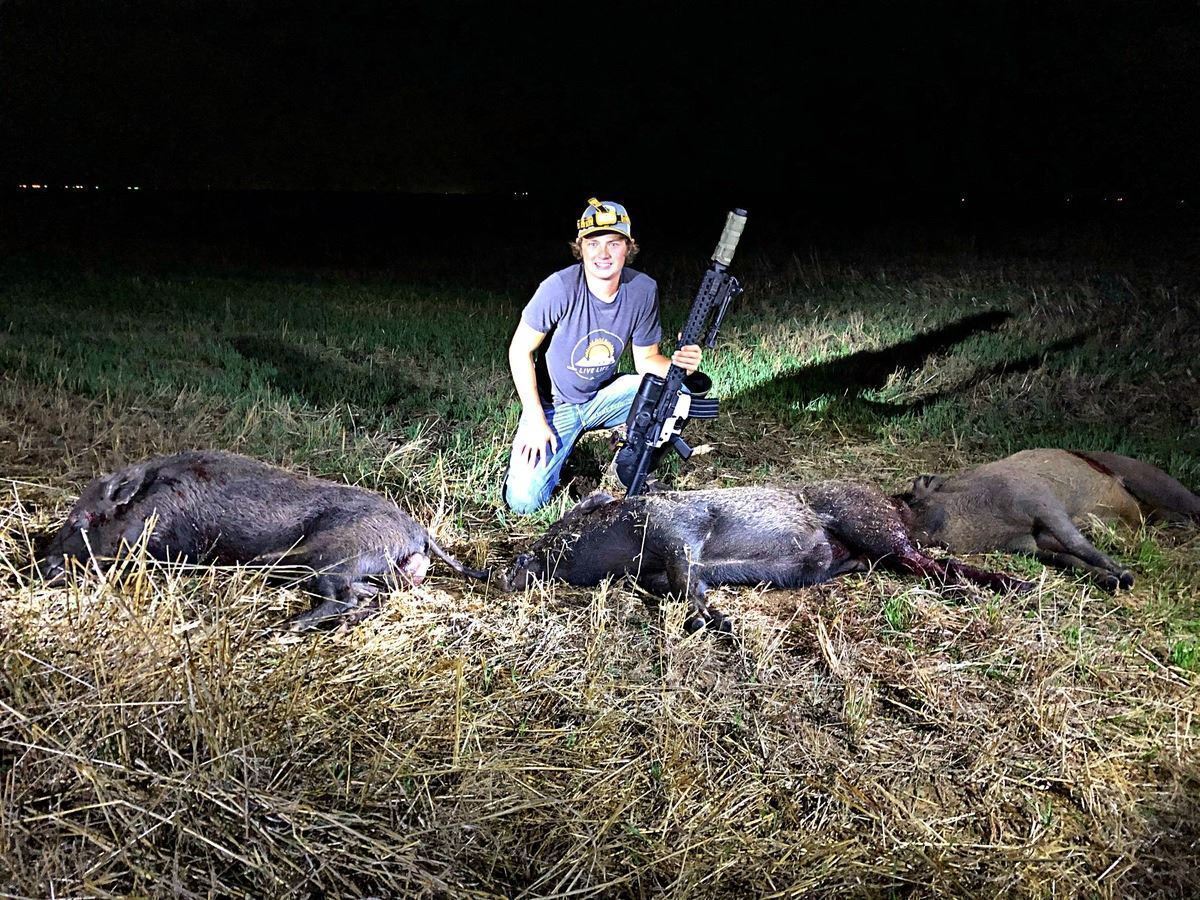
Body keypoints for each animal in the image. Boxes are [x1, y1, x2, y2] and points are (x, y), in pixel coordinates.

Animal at [37, 450, 488, 629]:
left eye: (84, 518)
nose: (45, 567)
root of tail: (419, 532)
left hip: (332, 556)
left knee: (341, 598)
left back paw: (287, 627)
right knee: (367, 597)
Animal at [498, 480, 1031, 632]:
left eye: (563, 528)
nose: (512, 569)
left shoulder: (678, 531)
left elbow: (687, 577)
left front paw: (716, 622)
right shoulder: (665, 568)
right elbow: (683, 584)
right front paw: (715, 619)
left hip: (870, 524)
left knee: (929, 562)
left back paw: (998, 588)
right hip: (869, 548)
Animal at [897, 448, 1200, 591]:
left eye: (918, 500)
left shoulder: (1042, 503)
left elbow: (1077, 544)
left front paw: (1126, 577)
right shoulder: (1031, 544)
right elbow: (1069, 559)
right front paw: (1112, 583)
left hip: (1156, 481)